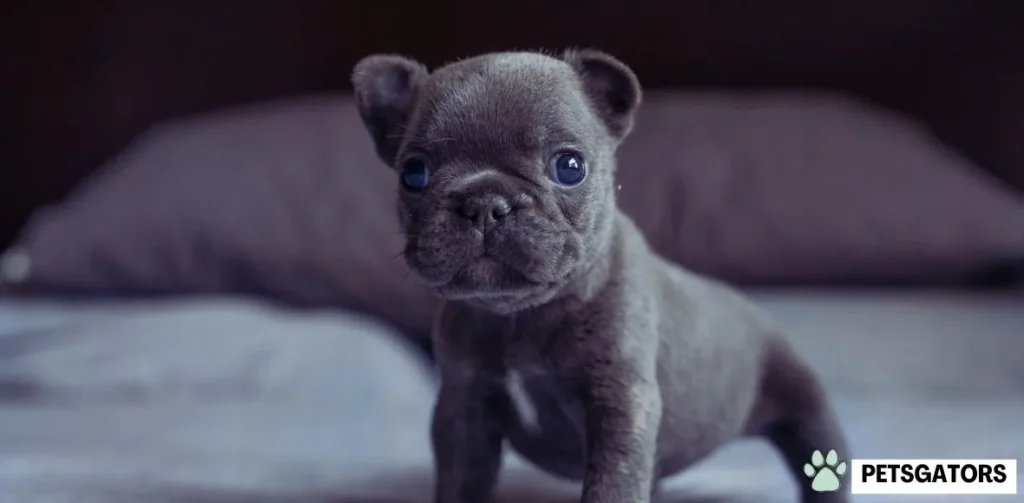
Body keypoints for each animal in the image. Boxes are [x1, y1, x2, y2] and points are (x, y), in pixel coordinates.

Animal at [352, 48, 847, 503]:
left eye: (569, 167)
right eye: (413, 173)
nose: (485, 204)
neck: (521, 316)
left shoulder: (620, 405)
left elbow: (613, 485)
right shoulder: (464, 411)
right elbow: (460, 484)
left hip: (805, 404)